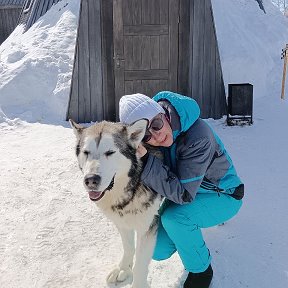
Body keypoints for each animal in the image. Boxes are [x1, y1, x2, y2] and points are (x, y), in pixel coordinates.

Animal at [69, 119, 164, 288]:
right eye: (86, 152)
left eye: (110, 152)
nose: (91, 180)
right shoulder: (122, 222)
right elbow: (128, 247)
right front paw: (123, 269)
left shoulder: (147, 227)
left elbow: (140, 265)